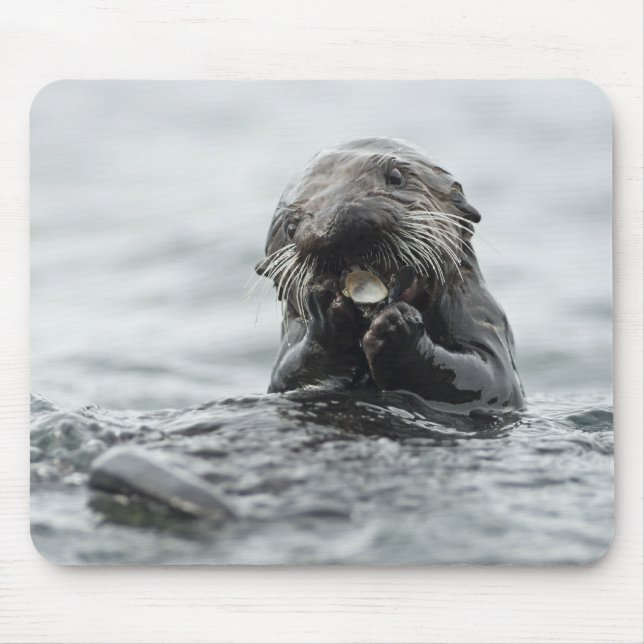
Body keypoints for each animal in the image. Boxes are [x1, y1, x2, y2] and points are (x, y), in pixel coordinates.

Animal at [255, 138, 525, 412]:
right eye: (290, 227)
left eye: (395, 177)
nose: (336, 223)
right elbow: (289, 374)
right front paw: (327, 313)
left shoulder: (481, 315)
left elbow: (489, 377)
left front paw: (398, 325)